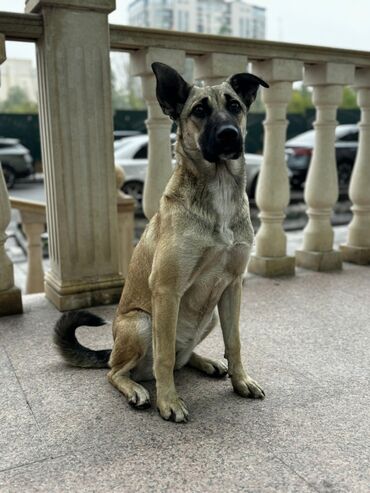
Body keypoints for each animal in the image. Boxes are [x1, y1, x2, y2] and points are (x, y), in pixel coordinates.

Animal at [54, 61, 268, 422]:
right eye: (199, 111)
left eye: (235, 106)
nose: (229, 134)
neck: (219, 189)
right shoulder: (167, 290)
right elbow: (164, 355)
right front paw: (169, 401)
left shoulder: (233, 286)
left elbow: (234, 342)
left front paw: (241, 380)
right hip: (141, 322)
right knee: (117, 371)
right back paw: (136, 389)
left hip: (210, 316)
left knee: (183, 356)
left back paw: (207, 362)